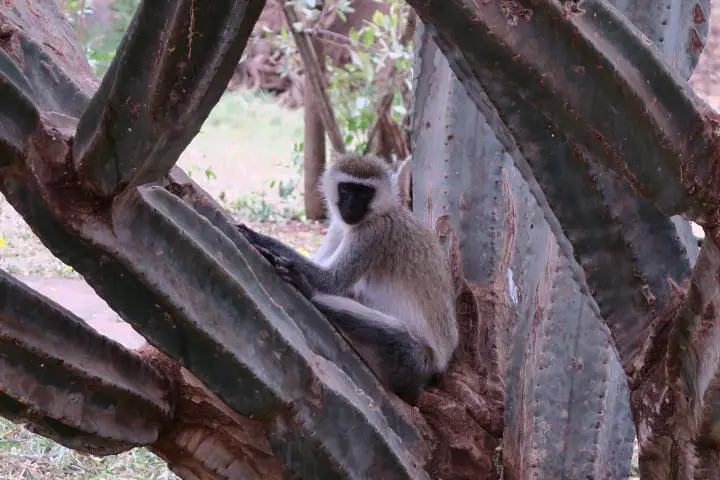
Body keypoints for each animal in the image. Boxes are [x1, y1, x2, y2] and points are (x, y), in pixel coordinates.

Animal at [235, 153, 458, 402]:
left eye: (364, 192)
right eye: (346, 188)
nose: (351, 206)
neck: (381, 211)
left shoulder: (373, 233)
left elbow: (332, 280)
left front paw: (260, 238)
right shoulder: (338, 227)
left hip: (417, 362)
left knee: (393, 334)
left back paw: (310, 292)